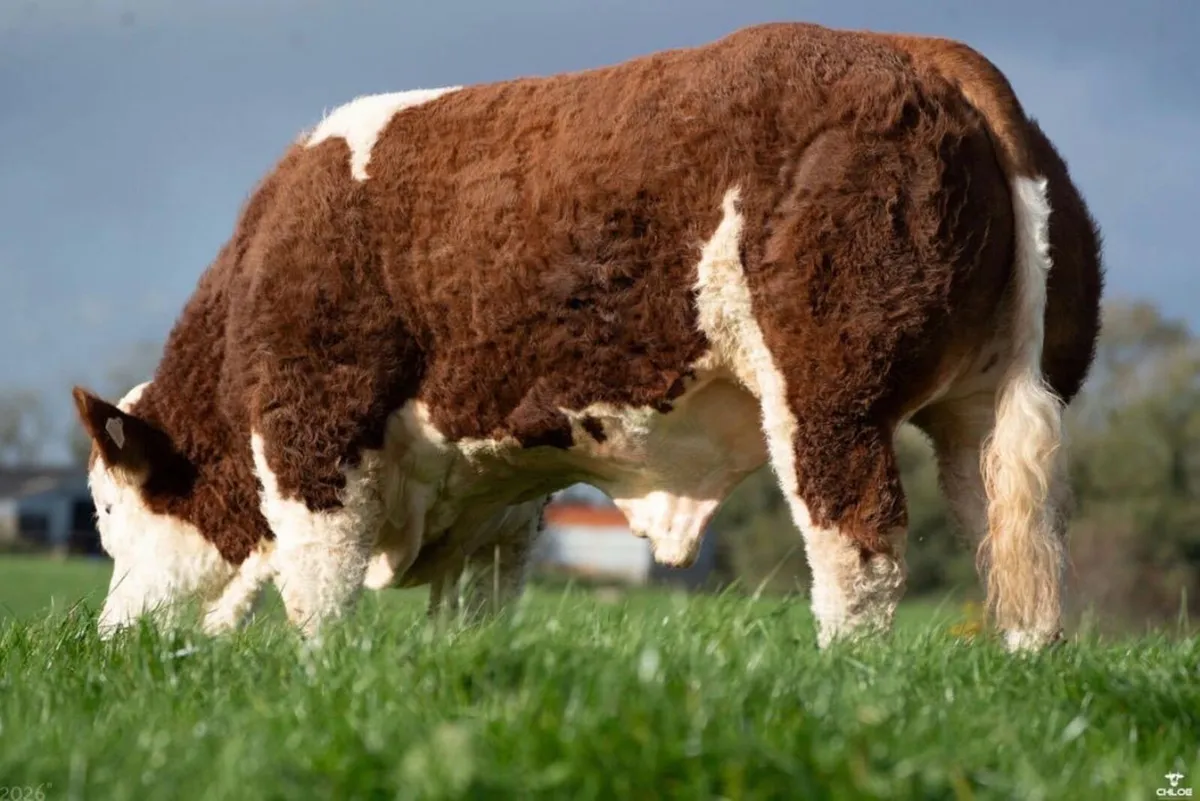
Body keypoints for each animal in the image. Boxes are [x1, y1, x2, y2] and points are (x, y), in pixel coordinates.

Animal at [72, 21, 1102, 651]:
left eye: (112, 511)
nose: (112, 637)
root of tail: (925, 52)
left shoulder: (315, 431)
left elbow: (317, 597)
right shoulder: (492, 487)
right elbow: (473, 609)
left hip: (832, 402)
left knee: (862, 548)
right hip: (989, 406)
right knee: (1019, 543)